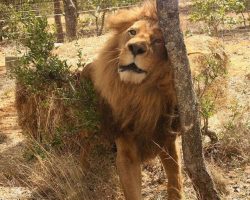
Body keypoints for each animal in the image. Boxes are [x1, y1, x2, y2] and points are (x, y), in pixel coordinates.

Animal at [87, 0, 182, 199]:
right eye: (132, 32)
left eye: (158, 40)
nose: (136, 48)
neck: (139, 93)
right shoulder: (126, 151)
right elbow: (132, 191)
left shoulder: (167, 139)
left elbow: (175, 181)